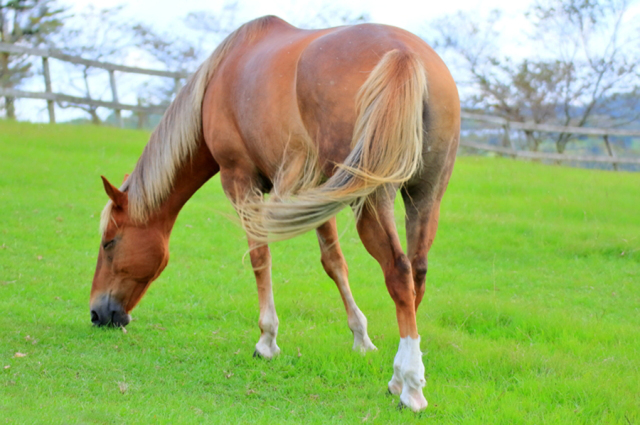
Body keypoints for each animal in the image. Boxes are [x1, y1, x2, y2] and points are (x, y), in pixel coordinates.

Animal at [90, 15, 459, 411]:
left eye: (109, 243)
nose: (97, 313)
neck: (220, 76)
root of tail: (403, 55)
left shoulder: (239, 180)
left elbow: (259, 256)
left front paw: (267, 340)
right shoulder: (319, 192)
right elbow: (334, 263)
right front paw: (361, 337)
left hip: (371, 200)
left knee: (399, 272)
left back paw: (411, 387)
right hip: (424, 196)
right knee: (417, 272)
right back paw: (399, 374)